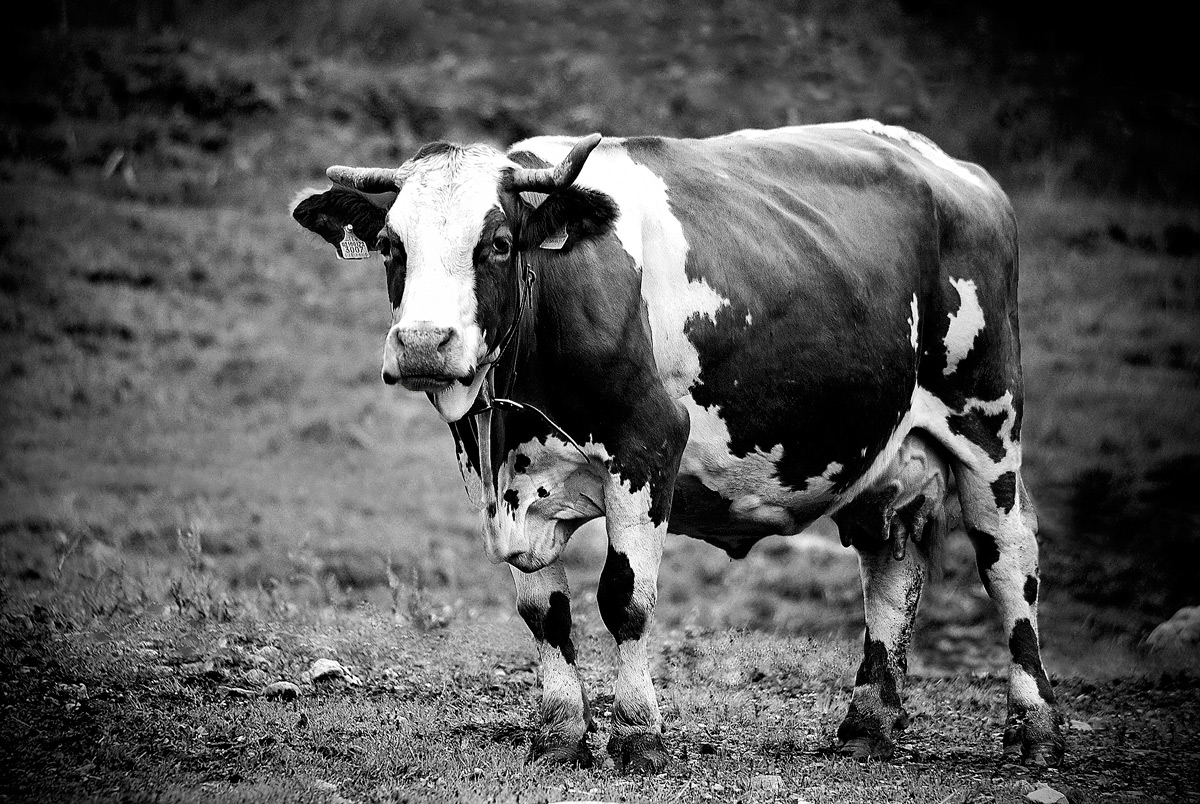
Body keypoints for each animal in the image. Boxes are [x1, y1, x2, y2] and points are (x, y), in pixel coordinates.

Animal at [291, 121, 1064, 772]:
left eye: (499, 244)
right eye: (391, 247)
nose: (423, 344)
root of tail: (951, 168)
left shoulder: (649, 447)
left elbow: (623, 599)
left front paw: (639, 735)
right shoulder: (505, 487)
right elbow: (545, 612)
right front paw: (560, 733)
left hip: (987, 423)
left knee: (1008, 556)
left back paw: (1033, 728)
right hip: (882, 450)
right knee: (891, 570)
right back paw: (868, 724)